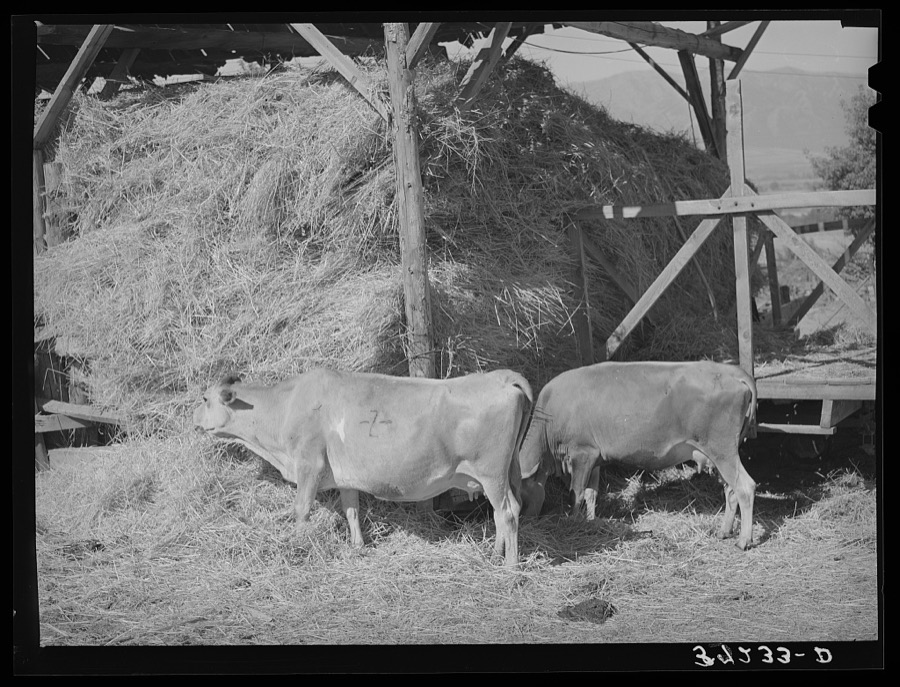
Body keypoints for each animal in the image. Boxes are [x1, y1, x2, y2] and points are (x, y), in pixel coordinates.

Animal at [193, 367, 533, 567]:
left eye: (205, 398)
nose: (193, 420)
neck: (286, 405)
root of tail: (501, 376)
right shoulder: (346, 475)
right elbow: (351, 511)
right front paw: (357, 546)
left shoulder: (309, 464)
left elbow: (301, 509)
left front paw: (295, 545)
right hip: (504, 473)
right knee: (502, 512)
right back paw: (494, 554)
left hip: (491, 473)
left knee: (507, 513)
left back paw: (510, 568)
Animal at [518, 361, 757, 550]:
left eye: (520, 496)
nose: (524, 522)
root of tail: (732, 370)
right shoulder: (594, 457)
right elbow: (591, 493)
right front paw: (591, 520)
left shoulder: (582, 453)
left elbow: (575, 493)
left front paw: (575, 523)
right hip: (720, 454)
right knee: (730, 490)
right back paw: (724, 531)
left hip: (722, 449)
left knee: (745, 487)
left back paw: (743, 541)